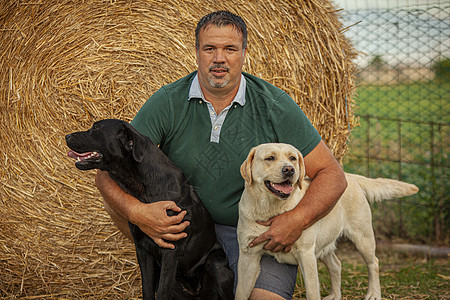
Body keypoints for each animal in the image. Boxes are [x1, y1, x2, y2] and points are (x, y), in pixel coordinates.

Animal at [67, 119, 236, 300]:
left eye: (96, 128)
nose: (66, 136)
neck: (142, 187)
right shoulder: (142, 250)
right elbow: (147, 290)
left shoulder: (170, 251)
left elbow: (162, 292)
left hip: (215, 263)